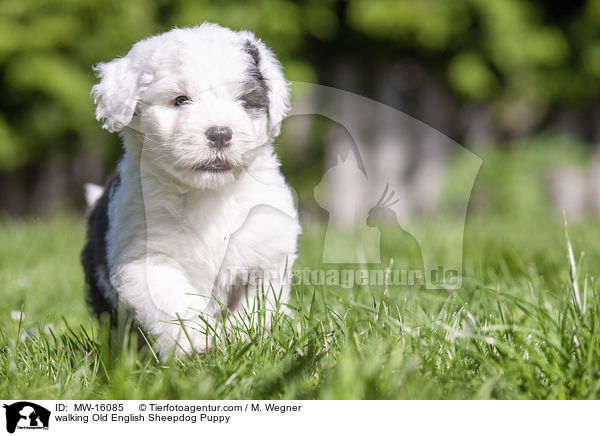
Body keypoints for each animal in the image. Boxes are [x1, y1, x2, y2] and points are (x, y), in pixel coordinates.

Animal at [81, 23, 300, 358]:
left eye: (244, 100)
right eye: (181, 100)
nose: (220, 134)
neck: (209, 194)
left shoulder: (267, 253)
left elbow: (256, 305)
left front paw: (240, 339)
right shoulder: (145, 258)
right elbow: (173, 300)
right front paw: (198, 342)